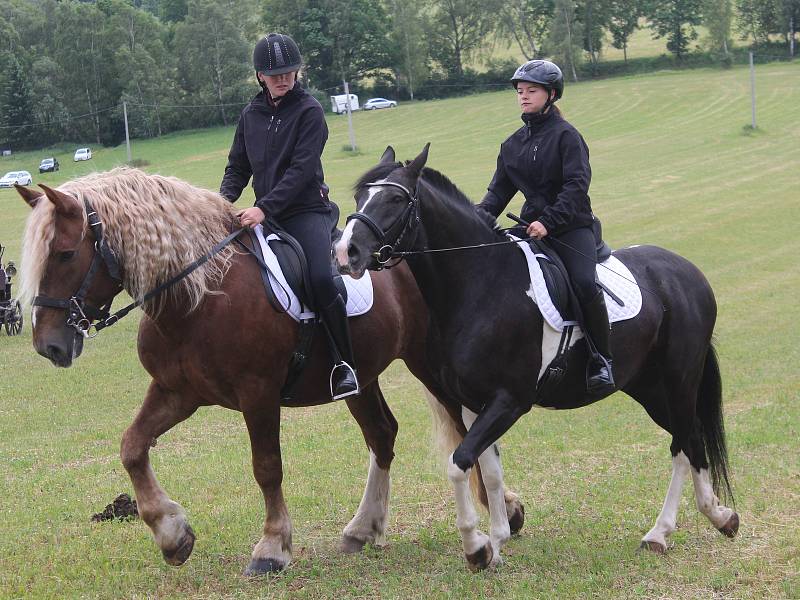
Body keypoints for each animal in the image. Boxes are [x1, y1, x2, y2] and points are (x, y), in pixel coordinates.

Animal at [17, 169, 524, 576]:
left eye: (65, 254)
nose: (49, 346)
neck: (201, 293)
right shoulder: (176, 391)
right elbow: (132, 448)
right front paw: (173, 534)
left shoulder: (257, 394)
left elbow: (266, 467)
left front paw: (272, 547)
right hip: (361, 378)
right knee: (383, 434)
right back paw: (363, 529)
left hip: (429, 365)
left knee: (466, 432)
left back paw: (500, 515)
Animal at [334, 146, 740, 572]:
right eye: (360, 197)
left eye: (395, 200)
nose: (346, 253)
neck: (482, 284)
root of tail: (687, 271)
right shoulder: (473, 404)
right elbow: (489, 471)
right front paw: (497, 542)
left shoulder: (509, 401)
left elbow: (459, 463)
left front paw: (476, 547)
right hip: (649, 388)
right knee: (692, 440)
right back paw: (720, 516)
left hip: (678, 380)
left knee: (681, 445)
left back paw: (660, 533)